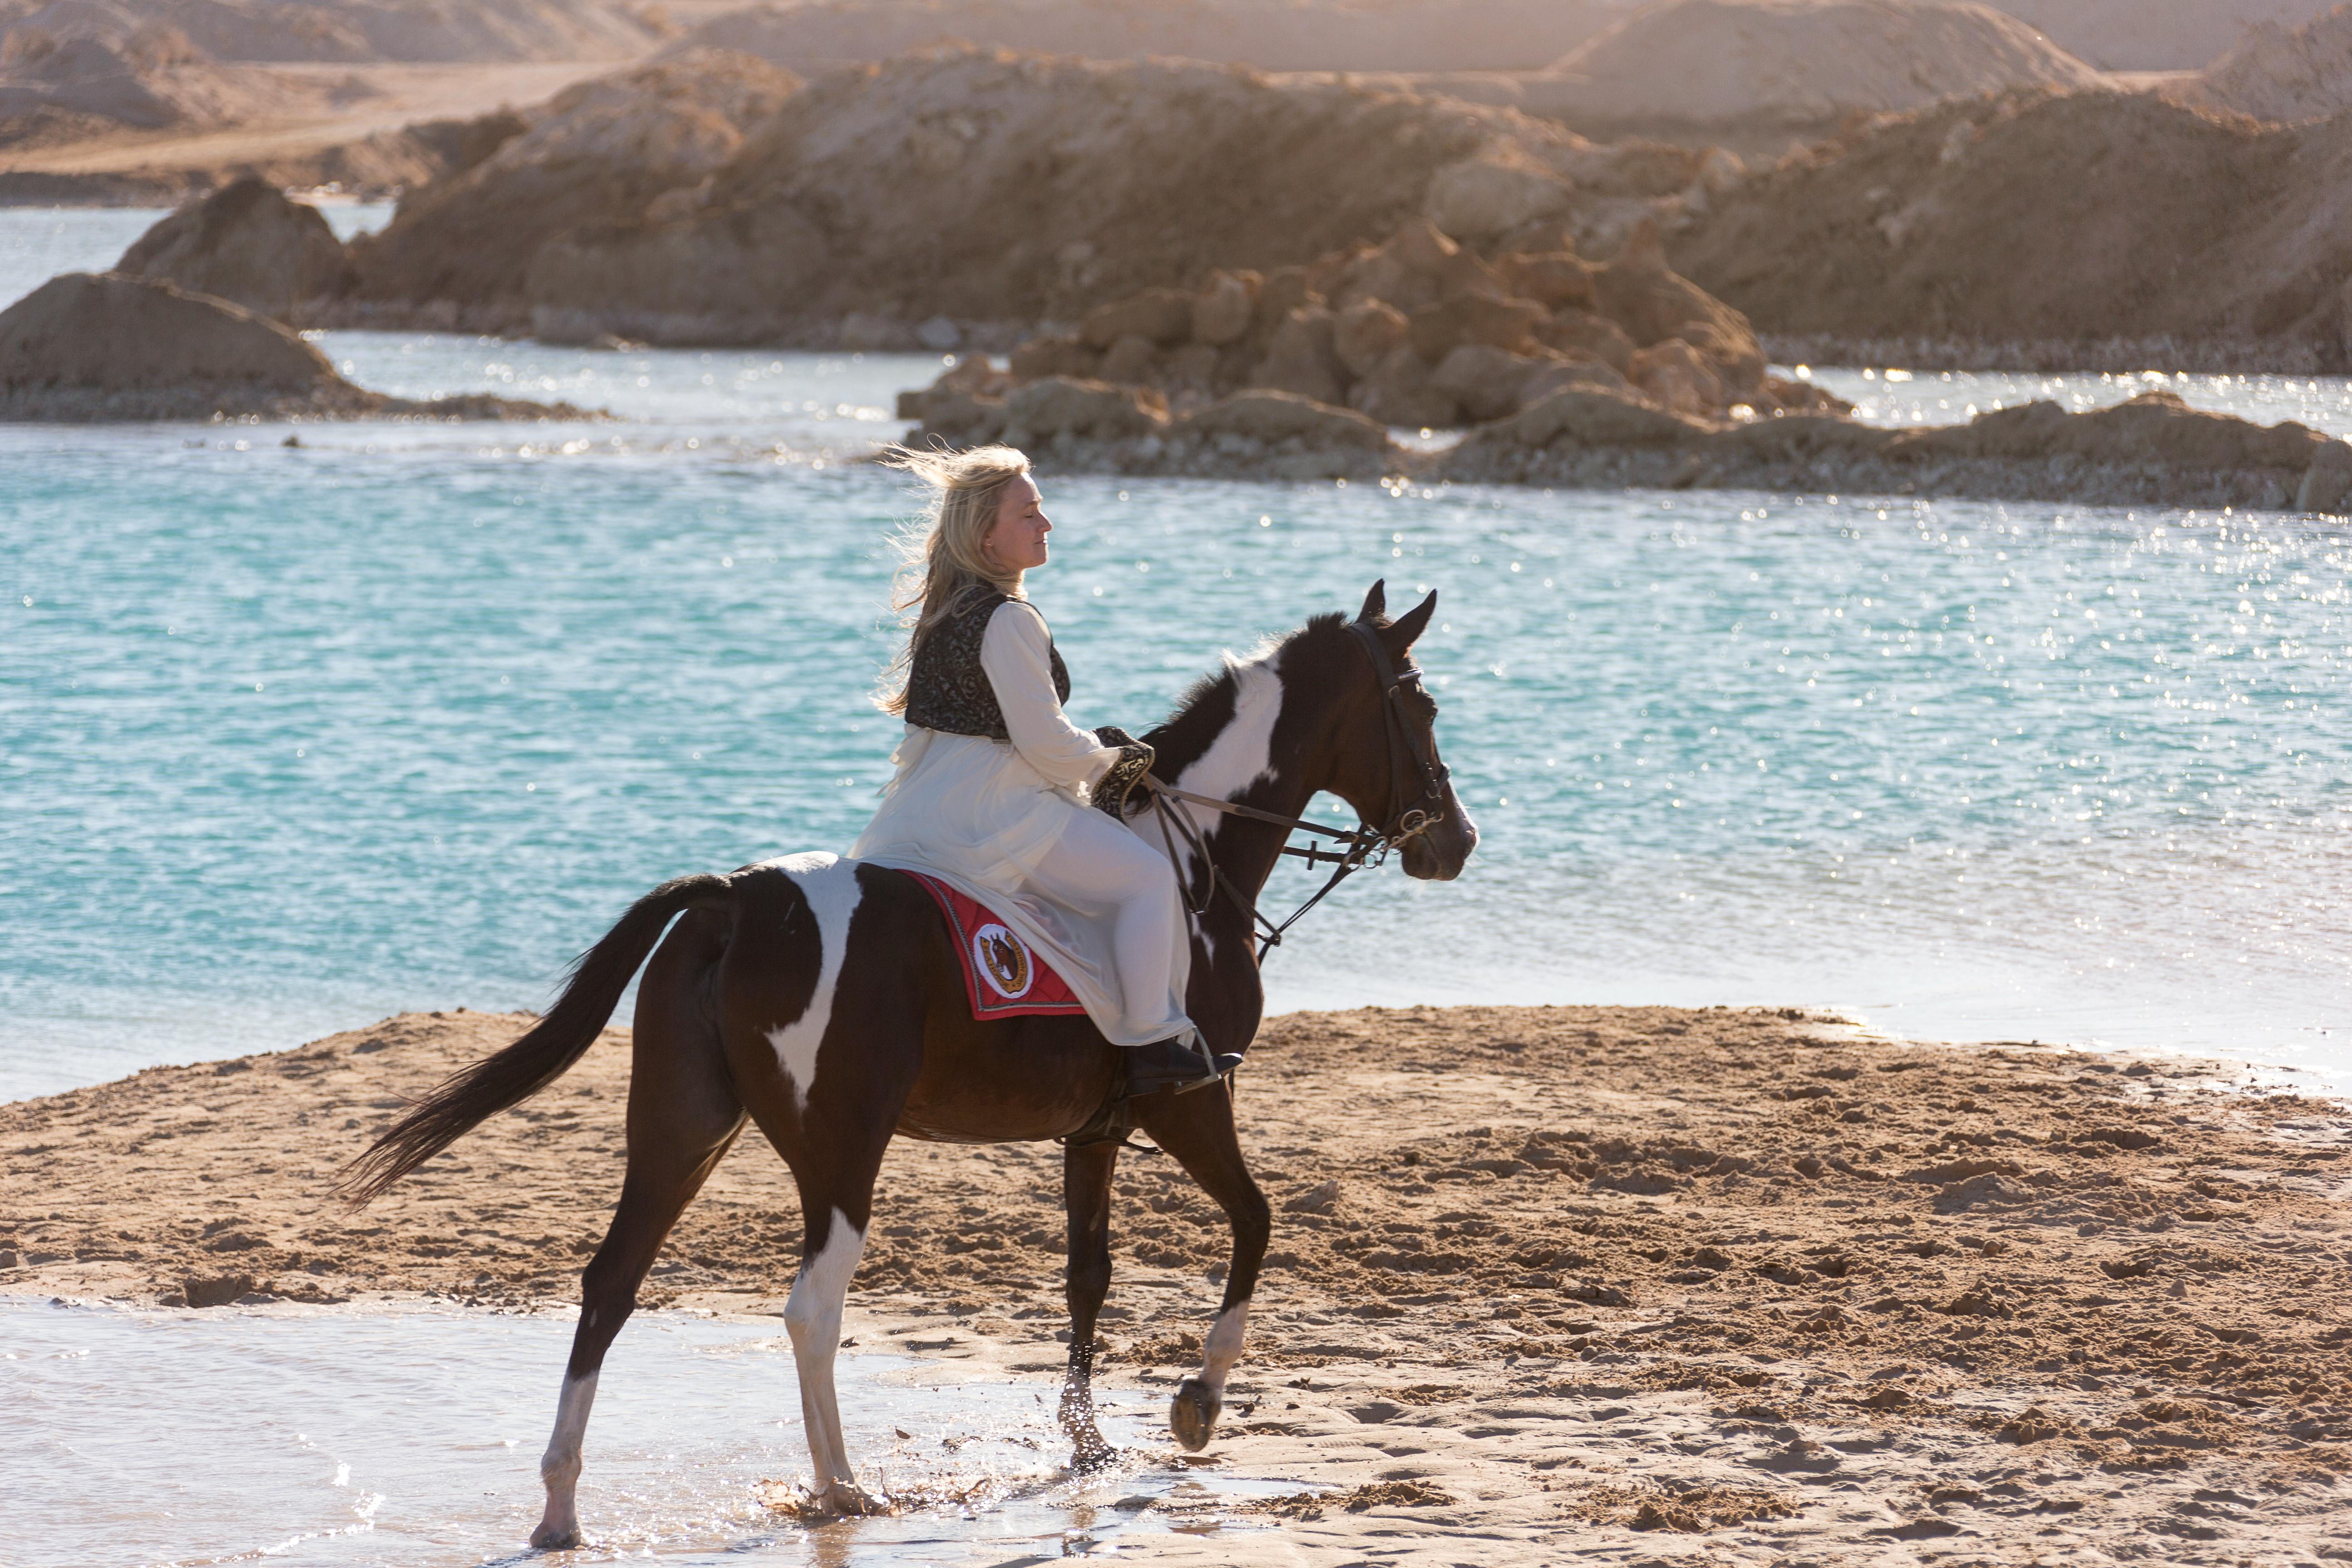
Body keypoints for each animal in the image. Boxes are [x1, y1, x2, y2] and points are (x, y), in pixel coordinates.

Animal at [342, 580, 1477, 1549]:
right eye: (1418, 705)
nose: (1456, 841)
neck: (1190, 863)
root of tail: (738, 896)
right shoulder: (1190, 1099)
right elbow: (1255, 1220)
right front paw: (1197, 1401)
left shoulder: (1096, 1130)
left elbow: (1089, 1277)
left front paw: (1088, 1443)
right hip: (841, 1150)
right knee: (811, 1307)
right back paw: (842, 1486)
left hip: (682, 1131)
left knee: (611, 1284)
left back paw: (562, 1506)